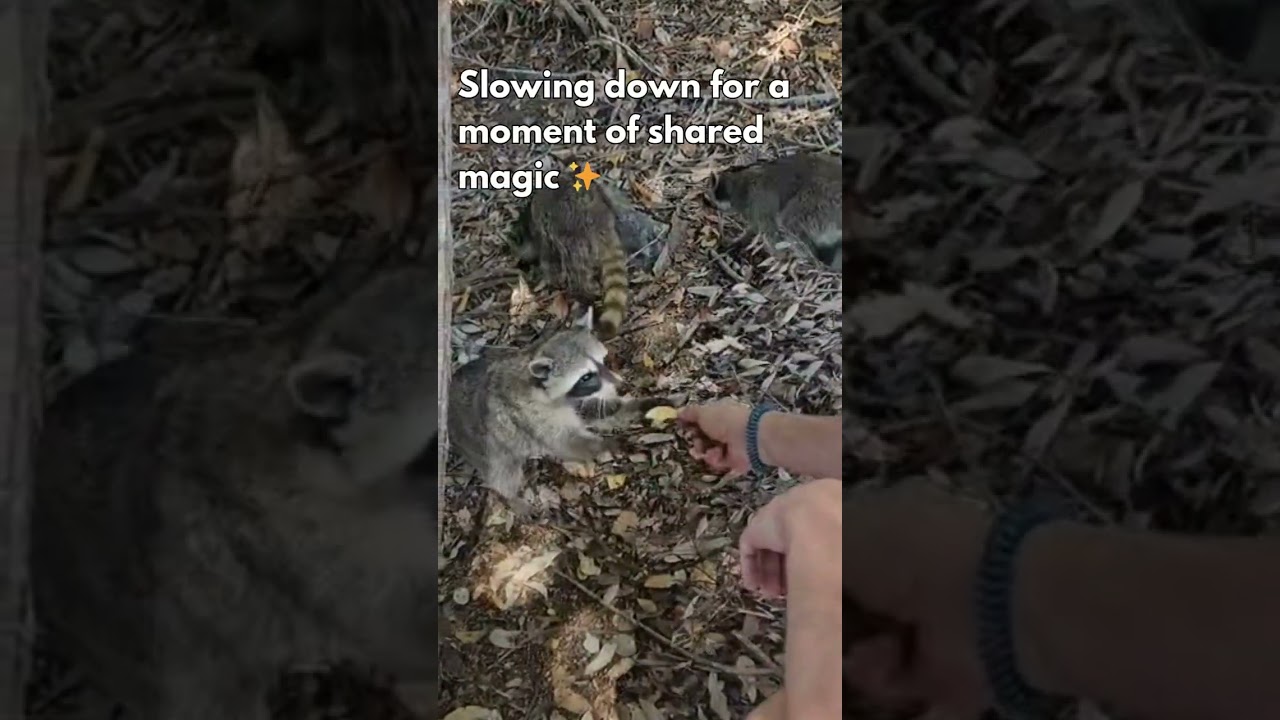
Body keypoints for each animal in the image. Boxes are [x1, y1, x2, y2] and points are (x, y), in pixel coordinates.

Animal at [448, 313, 669, 513]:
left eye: (604, 360)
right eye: (586, 376)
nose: (623, 387)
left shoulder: (578, 402)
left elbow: (599, 411)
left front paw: (648, 404)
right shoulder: (528, 414)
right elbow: (565, 442)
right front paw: (609, 444)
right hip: (484, 446)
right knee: (502, 473)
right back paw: (510, 497)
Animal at [514, 184, 664, 339]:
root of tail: (600, 221)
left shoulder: (544, 233)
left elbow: (548, 261)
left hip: (570, 227)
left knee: (576, 266)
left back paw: (585, 293)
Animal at [709, 151, 842, 269]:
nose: (713, 209)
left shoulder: (759, 200)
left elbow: (771, 232)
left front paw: (778, 254)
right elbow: (755, 228)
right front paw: (743, 238)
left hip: (816, 201)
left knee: (791, 226)